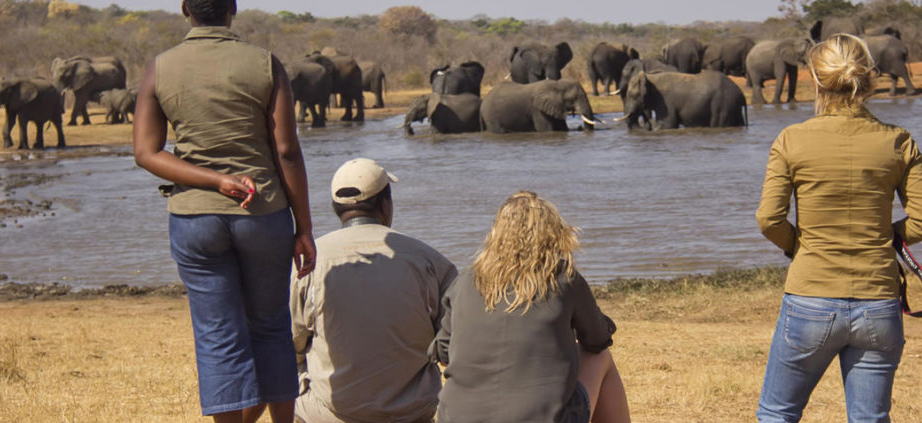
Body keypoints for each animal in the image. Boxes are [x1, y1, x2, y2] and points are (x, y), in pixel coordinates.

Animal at [616, 70, 744, 131]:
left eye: (632, 95)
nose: (647, 120)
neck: (649, 77)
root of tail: (741, 94)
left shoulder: (665, 101)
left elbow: (667, 125)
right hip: (732, 107)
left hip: (723, 105)